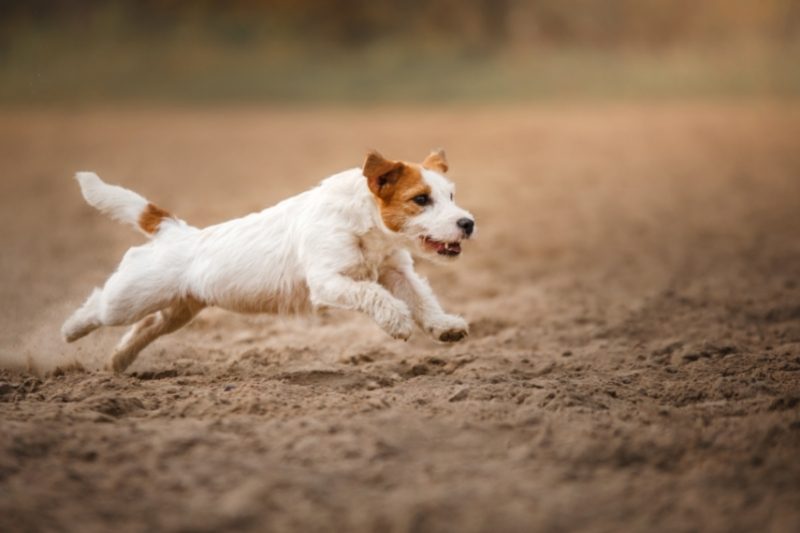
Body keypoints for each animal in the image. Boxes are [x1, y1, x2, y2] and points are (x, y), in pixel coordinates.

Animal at [64, 148, 476, 372]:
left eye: (451, 196)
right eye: (420, 199)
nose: (468, 224)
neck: (365, 222)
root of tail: (173, 230)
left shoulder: (397, 272)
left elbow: (422, 300)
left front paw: (445, 327)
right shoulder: (329, 281)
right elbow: (375, 296)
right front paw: (396, 321)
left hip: (178, 311)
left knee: (145, 328)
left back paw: (117, 363)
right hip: (129, 298)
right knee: (99, 306)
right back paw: (69, 332)